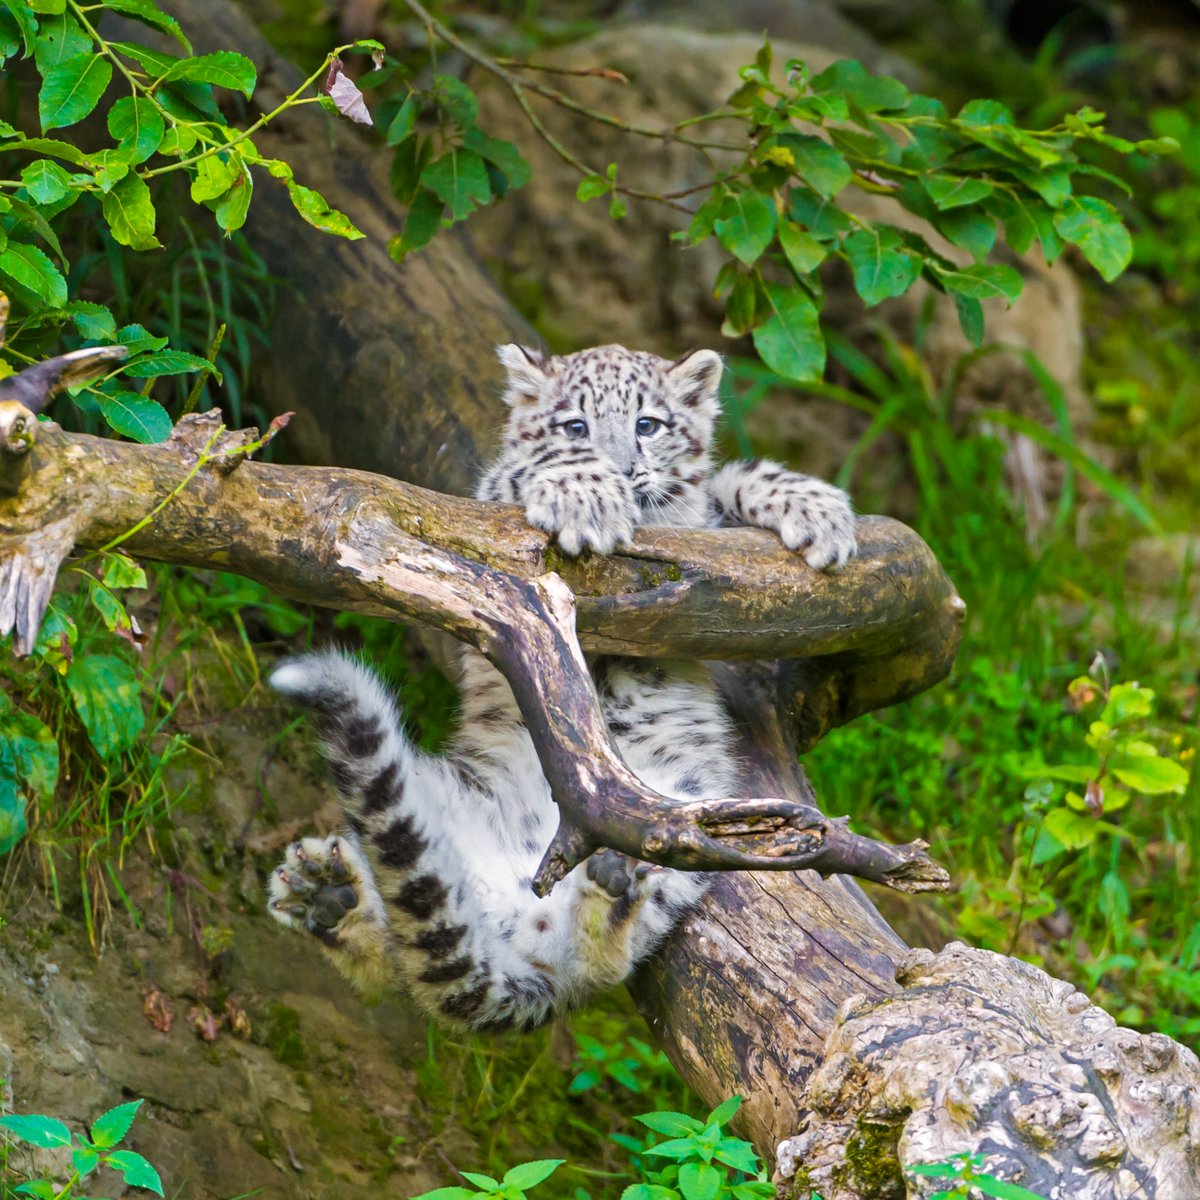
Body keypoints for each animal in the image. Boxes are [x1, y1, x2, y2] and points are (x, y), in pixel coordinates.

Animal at [266, 343, 857, 1032]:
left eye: (648, 423)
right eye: (575, 425)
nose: (623, 470)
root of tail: (515, 893)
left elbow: (724, 484)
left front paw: (818, 511)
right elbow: (520, 471)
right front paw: (586, 497)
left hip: (692, 826)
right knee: (422, 957)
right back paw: (327, 892)